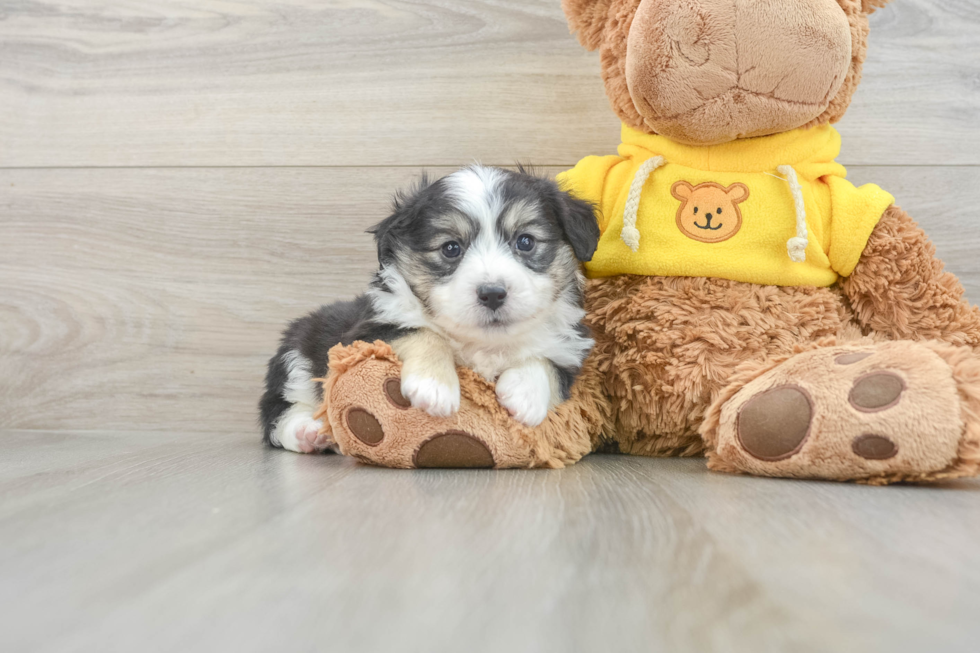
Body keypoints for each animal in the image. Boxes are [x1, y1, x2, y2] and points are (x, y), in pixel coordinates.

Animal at [258, 164, 596, 454]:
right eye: (450, 248)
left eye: (525, 241)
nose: (492, 294)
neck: (482, 344)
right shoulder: (366, 333)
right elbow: (422, 332)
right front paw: (434, 387)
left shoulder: (571, 349)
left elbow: (547, 361)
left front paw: (525, 395)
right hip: (295, 359)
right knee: (276, 413)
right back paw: (309, 432)